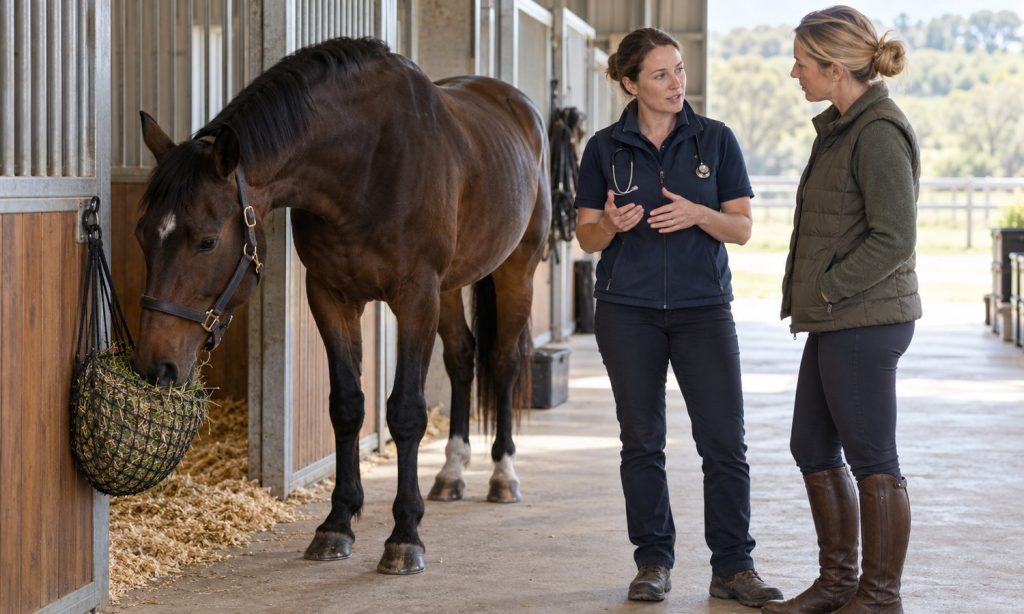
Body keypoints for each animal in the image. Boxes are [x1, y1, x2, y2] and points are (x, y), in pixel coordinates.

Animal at [131, 37, 550, 575]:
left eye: (206, 241)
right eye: (143, 235)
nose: (153, 366)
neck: (365, 166)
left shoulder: (415, 296)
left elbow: (406, 412)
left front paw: (404, 535)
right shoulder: (331, 296)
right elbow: (347, 406)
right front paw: (336, 524)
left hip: (516, 269)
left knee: (502, 361)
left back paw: (503, 474)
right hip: (451, 287)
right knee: (462, 358)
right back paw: (453, 473)